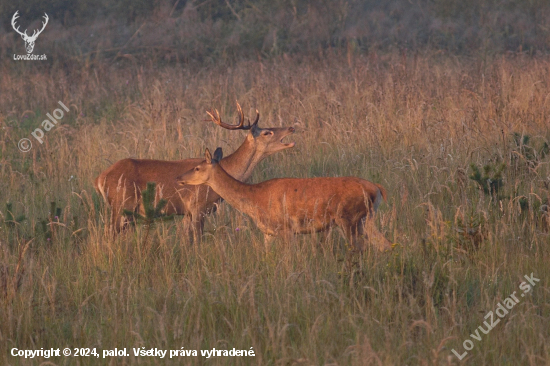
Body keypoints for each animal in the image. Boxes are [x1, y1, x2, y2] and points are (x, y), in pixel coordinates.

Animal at [92, 103, 296, 240]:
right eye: (267, 132)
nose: (292, 127)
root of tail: (100, 178)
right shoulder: (198, 206)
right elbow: (198, 240)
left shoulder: (187, 212)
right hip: (121, 204)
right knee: (109, 234)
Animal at [179, 147, 394, 250]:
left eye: (197, 167)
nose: (180, 178)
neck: (254, 198)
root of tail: (377, 188)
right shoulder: (268, 233)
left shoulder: (286, 228)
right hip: (366, 219)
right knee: (384, 245)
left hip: (349, 218)